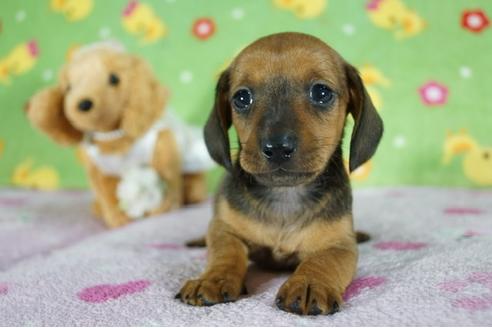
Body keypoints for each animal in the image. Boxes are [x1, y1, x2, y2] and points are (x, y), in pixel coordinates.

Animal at [177, 32, 384, 316]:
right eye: (242, 98)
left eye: (321, 93)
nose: (276, 147)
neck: (286, 195)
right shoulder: (226, 230)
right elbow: (226, 252)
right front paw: (213, 279)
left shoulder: (339, 245)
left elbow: (324, 260)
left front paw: (309, 283)